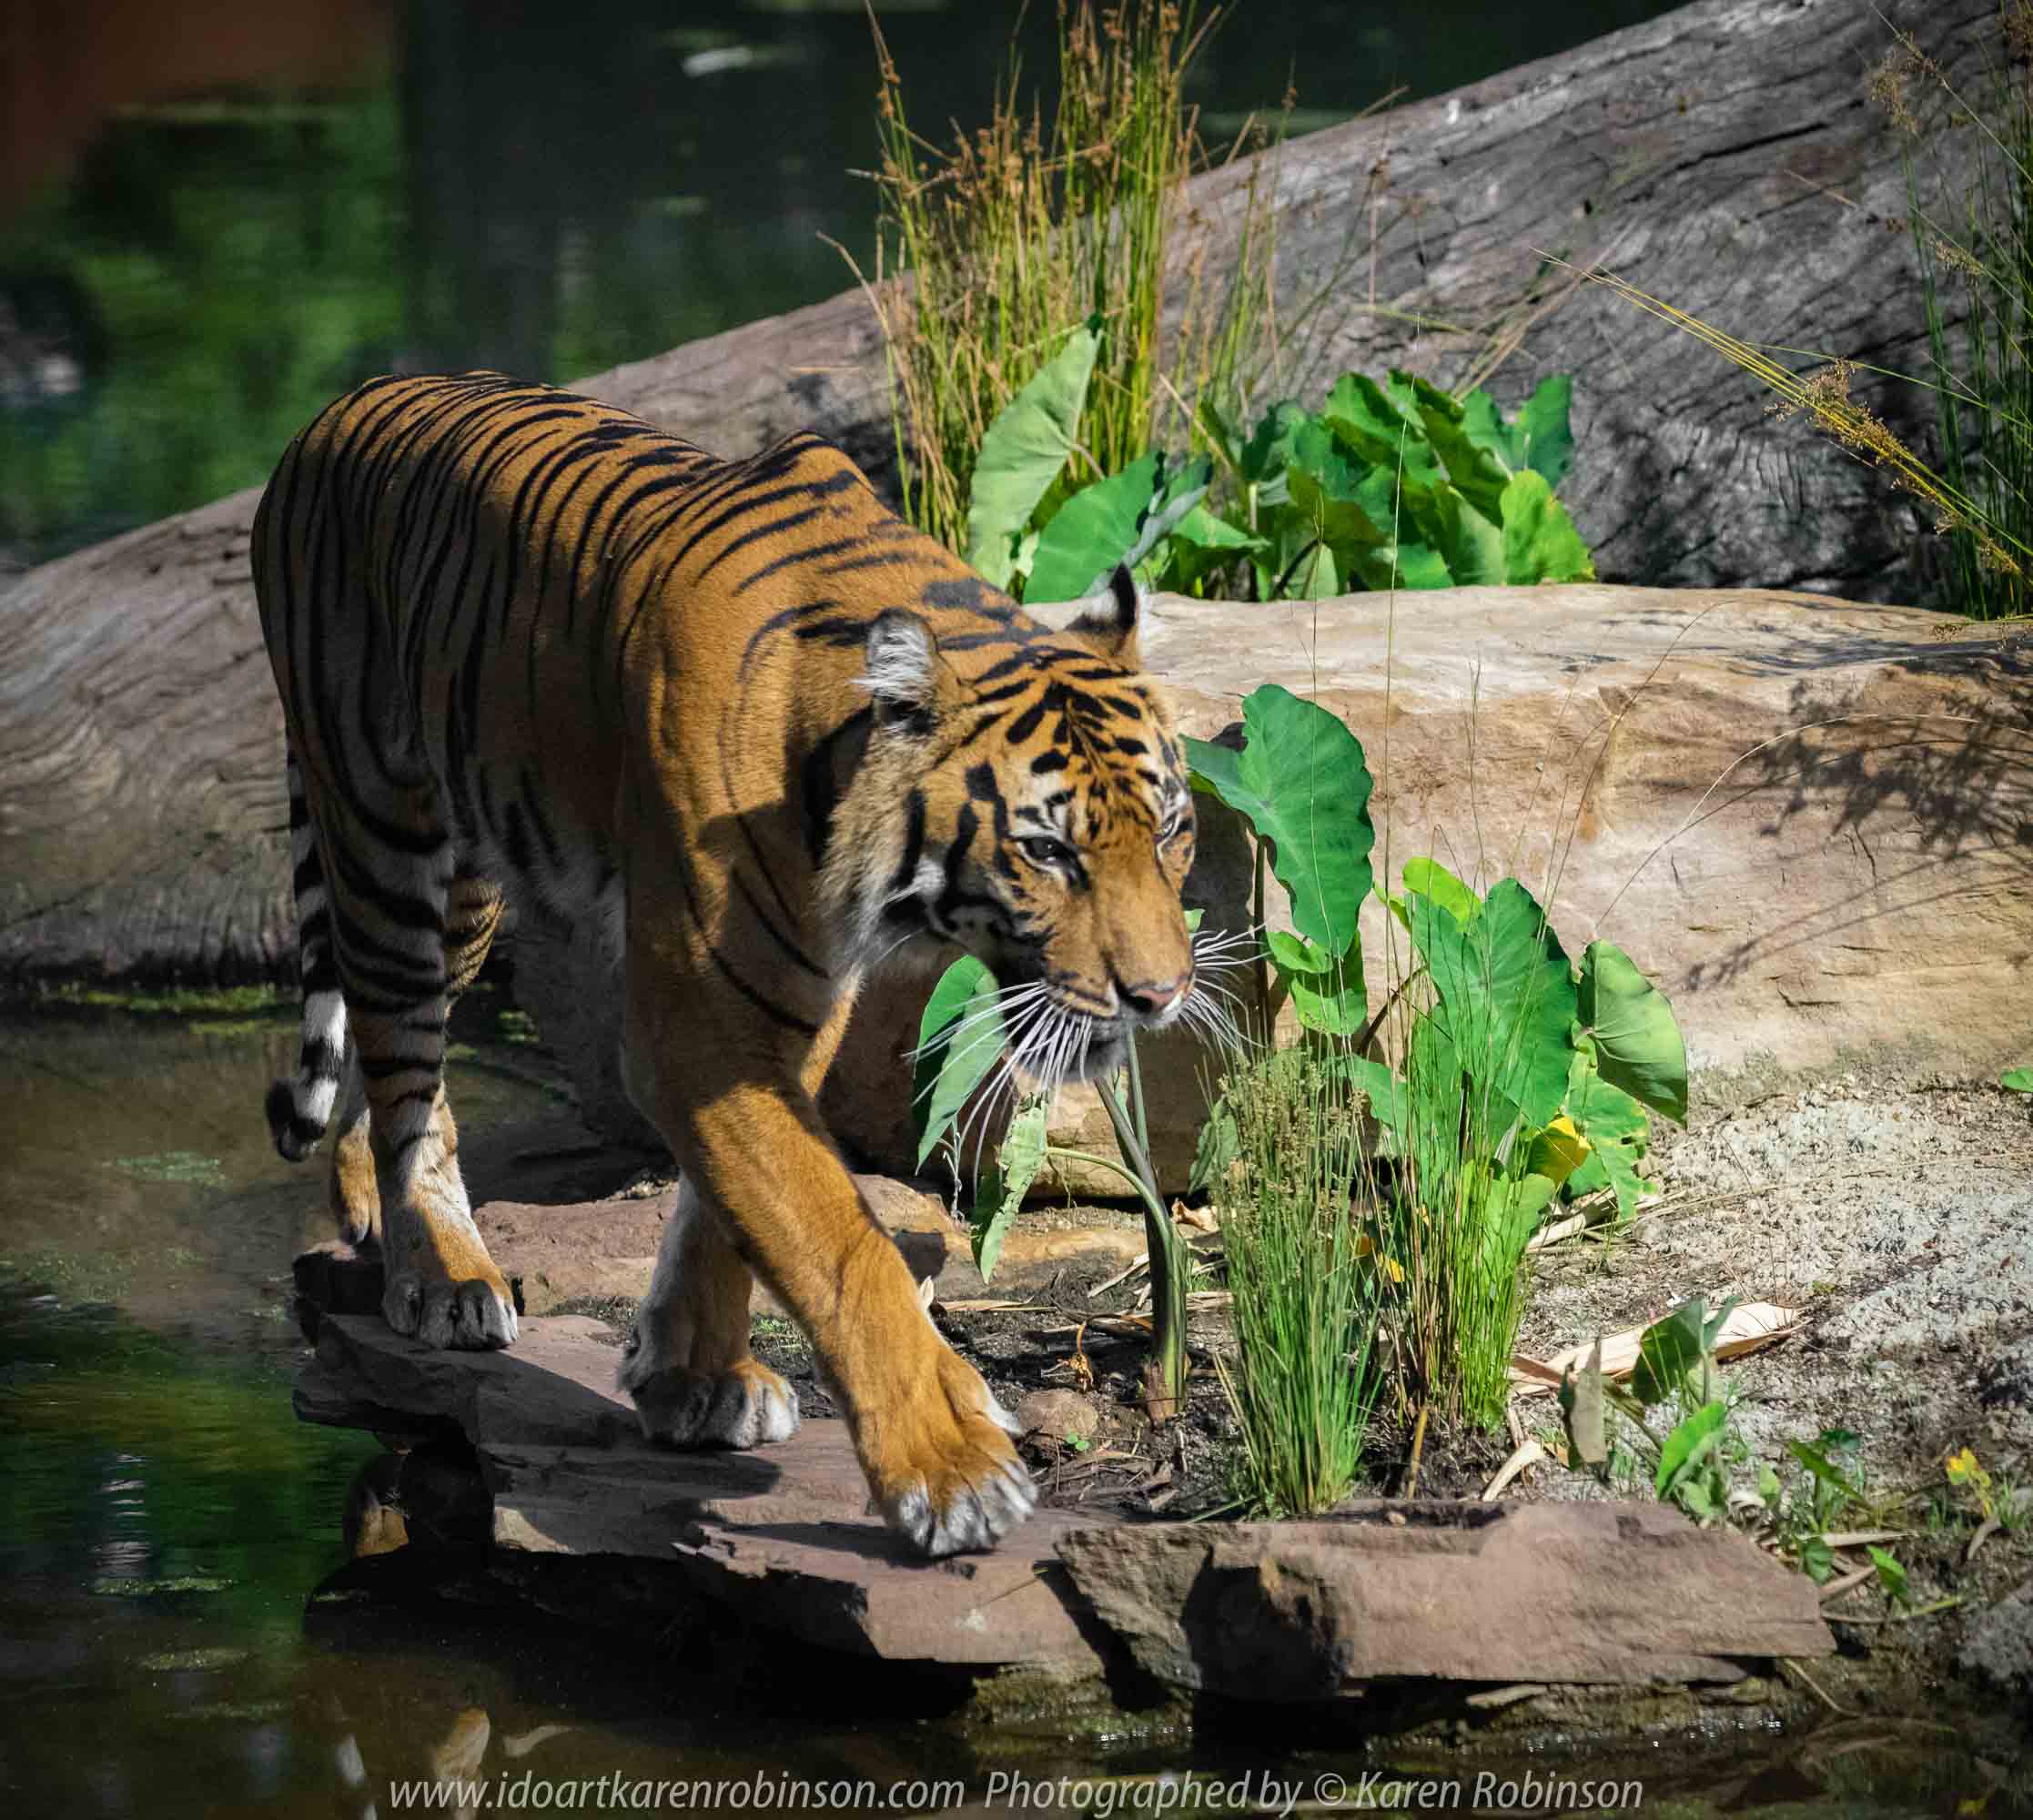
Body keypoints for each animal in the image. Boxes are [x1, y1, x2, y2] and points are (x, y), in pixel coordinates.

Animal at [251, 371, 1205, 1557]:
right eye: (1048, 851)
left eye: (1170, 830)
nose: (1158, 995)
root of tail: (333, 410)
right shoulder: (696, 1018)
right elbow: (836, 1236)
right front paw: (951, 1468)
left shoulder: (788, 997)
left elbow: (730, 1209)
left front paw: (693, 1379)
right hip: (387, 842)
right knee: (401, 1059)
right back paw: (442, 1273)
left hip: (471, 885)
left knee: (385, 1071)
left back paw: (373, 1216)